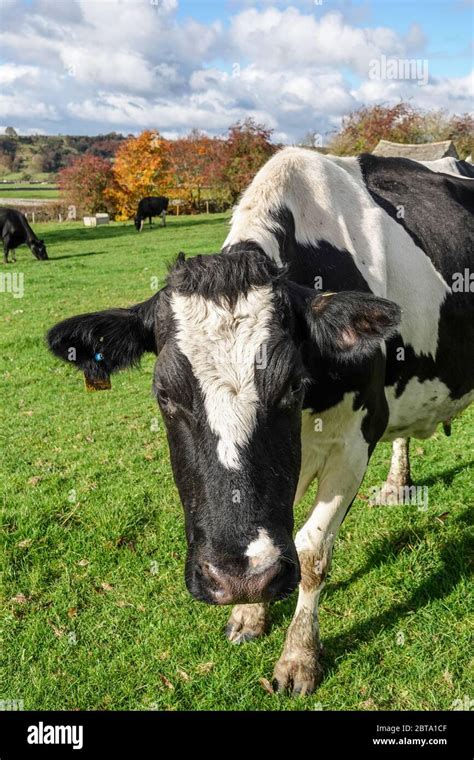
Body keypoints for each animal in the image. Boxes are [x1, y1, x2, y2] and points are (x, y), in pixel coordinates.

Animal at [46, 147, 472, 696]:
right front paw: (250, 611)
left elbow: (311, 552)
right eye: (164, 395)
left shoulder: (358, 435)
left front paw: (299, 656)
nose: (236, 579)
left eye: (292, 385)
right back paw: (398, 485)